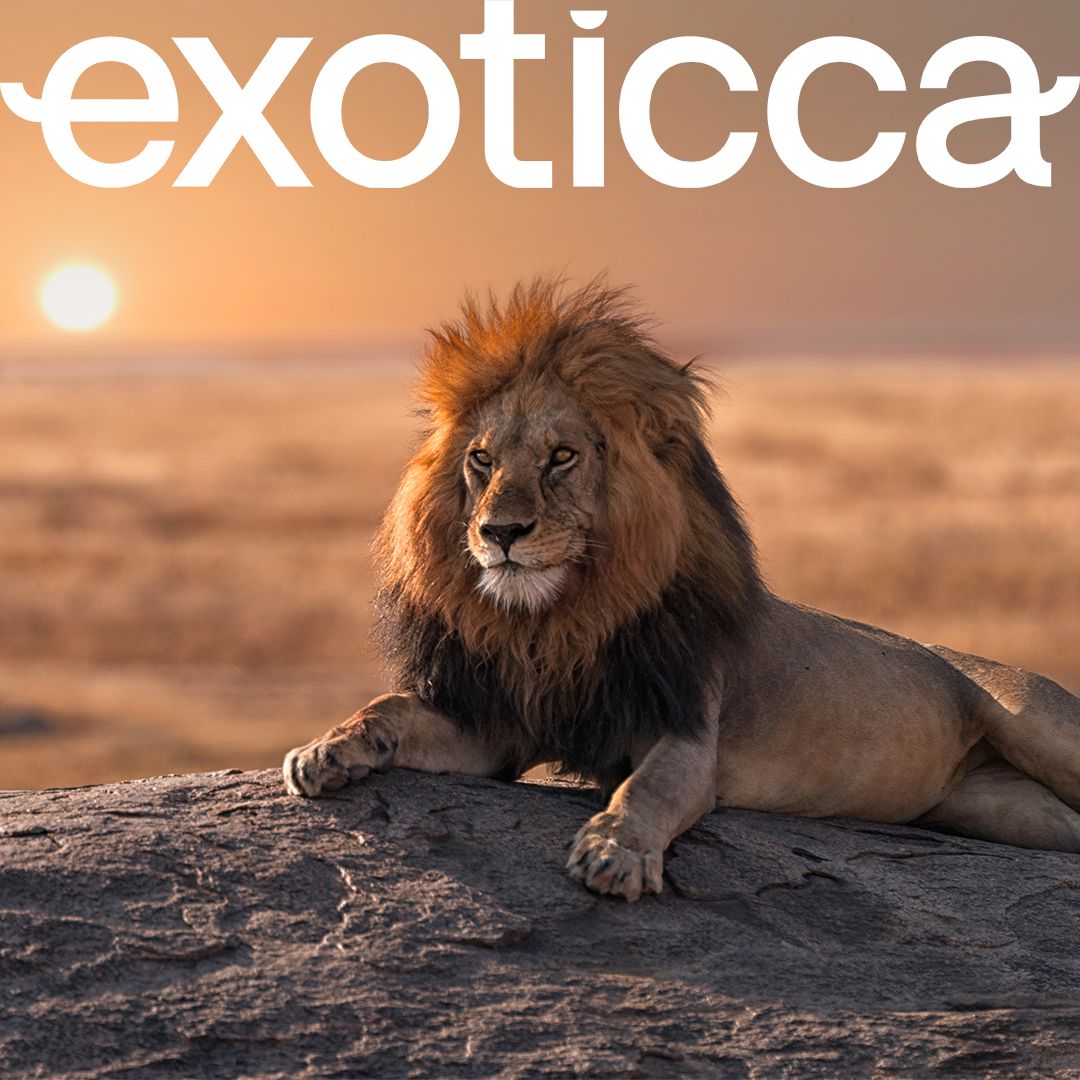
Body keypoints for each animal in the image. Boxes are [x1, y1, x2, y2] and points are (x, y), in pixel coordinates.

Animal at [284, 279, 1080, 901]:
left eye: (562, 457)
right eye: (482, 460)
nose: (500, 532)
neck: (558, 621)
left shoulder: (688, 730)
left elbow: (650, 789)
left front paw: (615, 851)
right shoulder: (502, 724)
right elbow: (390, 708)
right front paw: (327, 748)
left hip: (1032, 720)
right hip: (999, 809)